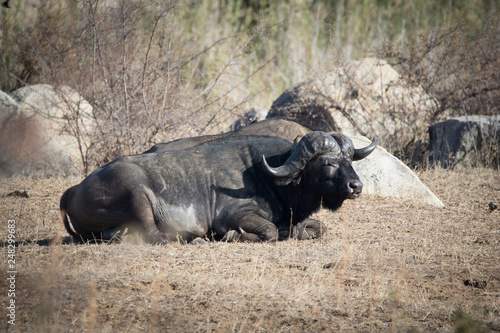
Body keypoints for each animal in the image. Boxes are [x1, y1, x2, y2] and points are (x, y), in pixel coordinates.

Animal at [60, 131, 376, 243]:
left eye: (349, 159)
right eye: (328, 163)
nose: (356, 186)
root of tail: (73, 191)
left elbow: (317, 228)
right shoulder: (235, 216)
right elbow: (270, 231)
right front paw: (235, 236)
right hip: (136, 193)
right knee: (155, 235)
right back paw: (196, 237)